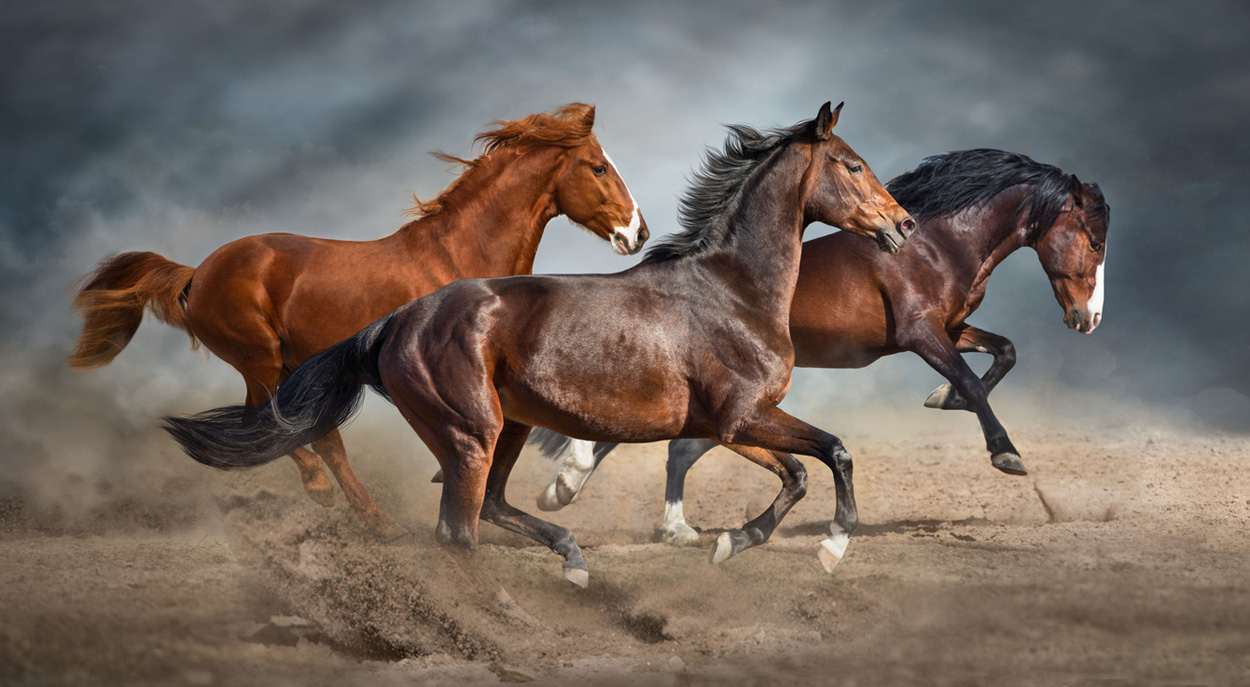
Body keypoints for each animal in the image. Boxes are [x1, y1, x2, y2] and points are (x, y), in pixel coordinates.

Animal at [69, 103, 647, 539]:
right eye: (598, 167)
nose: (637, 233)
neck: (460, 255)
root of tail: (198, 272)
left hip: (286, 364)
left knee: (296, 430)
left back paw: (360, 512)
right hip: (261, 357)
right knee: (278, 424)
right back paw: (343, 503)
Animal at [161, 101, 916, 585]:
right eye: (851, 164)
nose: (904, 224)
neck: (729, 288)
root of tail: (394, 322)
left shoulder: (728, 424)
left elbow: (797, 474)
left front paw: (731, 543)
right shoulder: (743, 416)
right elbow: (834, 453)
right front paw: (832, 548)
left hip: (511, 426)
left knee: (490, 506)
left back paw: (572, 560)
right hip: (472, 432)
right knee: (457, 527)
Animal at [528, 148, 1111, 544]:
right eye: (1095, 240)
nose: (1089, 319)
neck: (937, 244)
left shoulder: (952, 328)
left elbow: (1004, 352)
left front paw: (941, 400)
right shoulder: (921, 333)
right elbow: (972, 380)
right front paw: (1006, 454)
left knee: (680, 447)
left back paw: (666, 524)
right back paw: (570, 487)